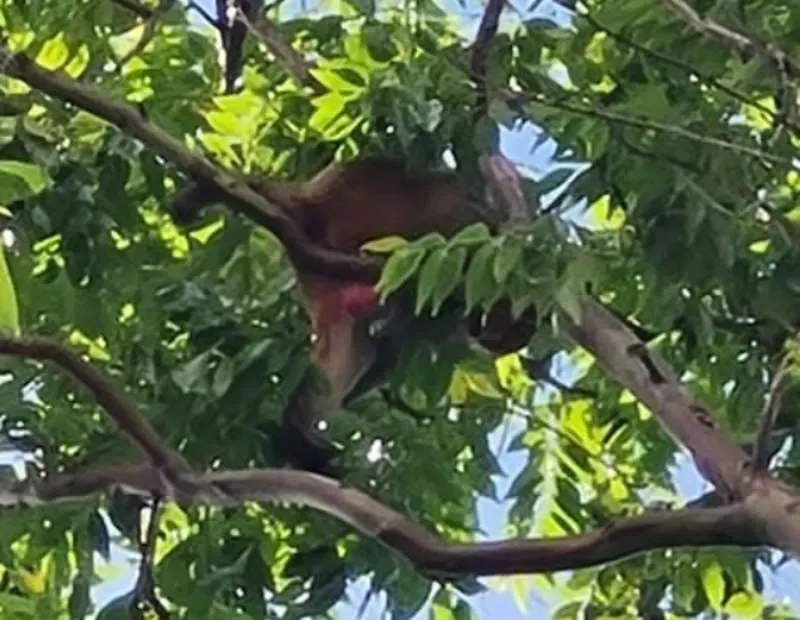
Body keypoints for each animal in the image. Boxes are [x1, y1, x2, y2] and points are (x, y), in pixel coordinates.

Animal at [171, 155, 539, 473]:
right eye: (495, 329)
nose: (480, 332)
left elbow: (389, 350)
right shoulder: (470, 236)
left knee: (347, 351)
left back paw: (294, 436)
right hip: (338, 205)